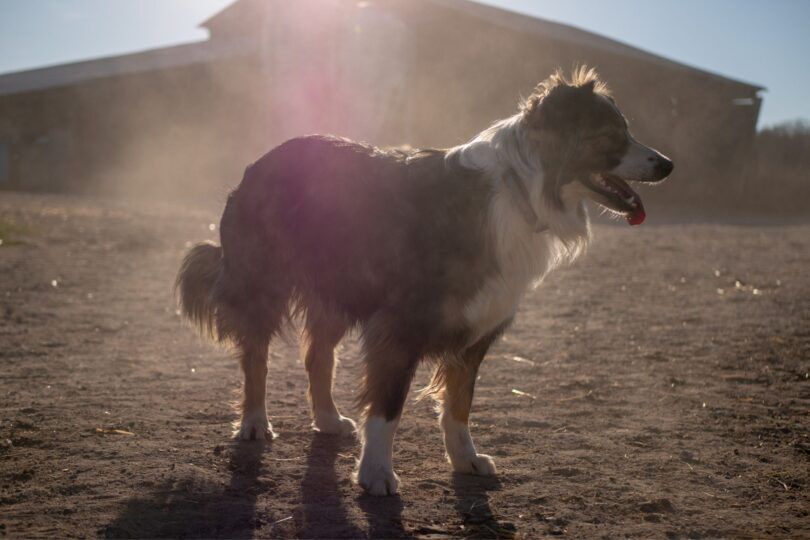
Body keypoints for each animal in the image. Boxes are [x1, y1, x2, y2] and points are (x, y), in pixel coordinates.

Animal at [175, 68, 668, 498]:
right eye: (615, 132)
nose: (667, 164)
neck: (521, 190)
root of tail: (260, 161)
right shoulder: (401, 325)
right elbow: (388, 407)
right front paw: (376, 473)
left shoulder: (477, 329)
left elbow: (459, 404)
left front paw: (464, 459)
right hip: (264, 285)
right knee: (256, 358)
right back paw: (255, 422)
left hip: (341, 289)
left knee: (317, 356)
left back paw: (329, 418)